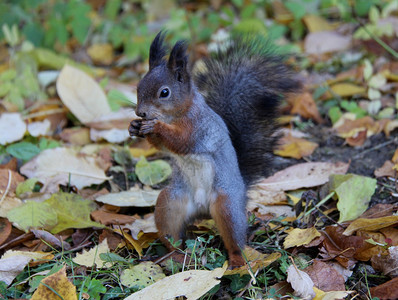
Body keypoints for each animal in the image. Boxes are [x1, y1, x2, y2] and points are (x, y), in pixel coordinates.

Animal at [129, 32, 300, 268]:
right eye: (138, 87)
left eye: (164, 92)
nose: (141, 113)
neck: (175, 115)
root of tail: (202, 208)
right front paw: (134, 127)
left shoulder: (198, 127)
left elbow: (180, 141)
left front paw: (156, 127)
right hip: (170, 202)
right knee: (172, 233)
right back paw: (175, 254)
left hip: (227, 205)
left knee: (234, 237)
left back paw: (236, 261)